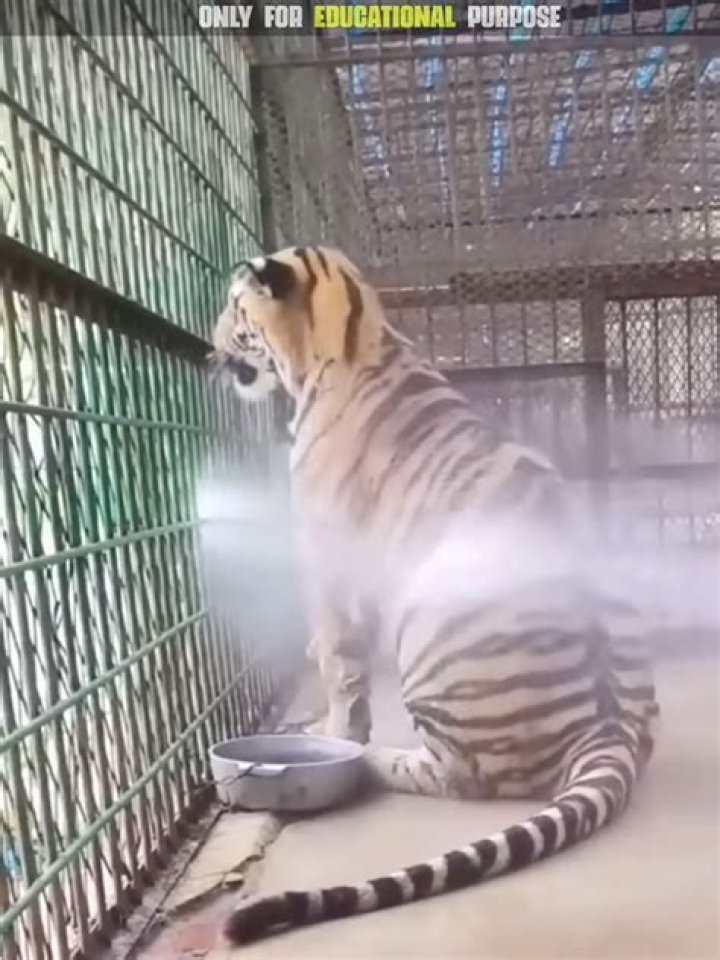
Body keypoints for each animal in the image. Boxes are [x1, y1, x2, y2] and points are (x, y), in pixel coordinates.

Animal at [208, 245, 659, 946]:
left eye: (235, 309)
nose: (212, 341)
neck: (354, 335)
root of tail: (607, 725)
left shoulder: (330, 559)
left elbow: (339, 665)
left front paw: (334, 735)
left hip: (427, 634)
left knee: (463, 776)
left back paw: (370, 758)